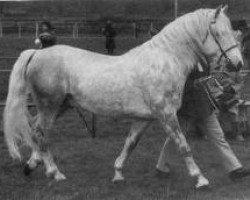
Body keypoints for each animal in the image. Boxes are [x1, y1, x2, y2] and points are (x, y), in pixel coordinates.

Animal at [2, 5, 243, 189]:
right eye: (219, 33)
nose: (237, 64)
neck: (164, 61)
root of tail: (36, 53)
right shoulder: (166, 115)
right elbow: (183, 145)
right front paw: (200, 179)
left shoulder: (144, 119)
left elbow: (130, 144)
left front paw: (118, 173)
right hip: (50, 105)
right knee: (40, 132)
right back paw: (55, 172)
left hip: (61, 106)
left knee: (35, 130)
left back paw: (32, 165)